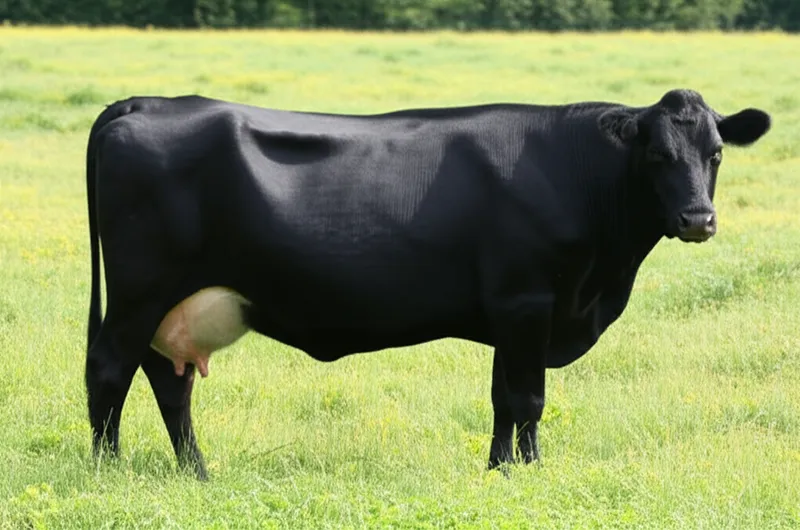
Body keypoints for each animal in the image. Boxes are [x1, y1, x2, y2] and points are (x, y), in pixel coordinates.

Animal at [84, 89, 771, 480]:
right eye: (658, 155)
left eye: (715, 152)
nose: (699, 219)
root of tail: (145, 102)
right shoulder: (528, 302)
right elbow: (528, 399)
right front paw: (529, 475)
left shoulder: (513, 314)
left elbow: (503, 399)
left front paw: (499, 471)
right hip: (139, 293)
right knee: (110, 371)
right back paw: (106, 470)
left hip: (172, 306)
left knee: (169, 385)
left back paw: (197, 472)